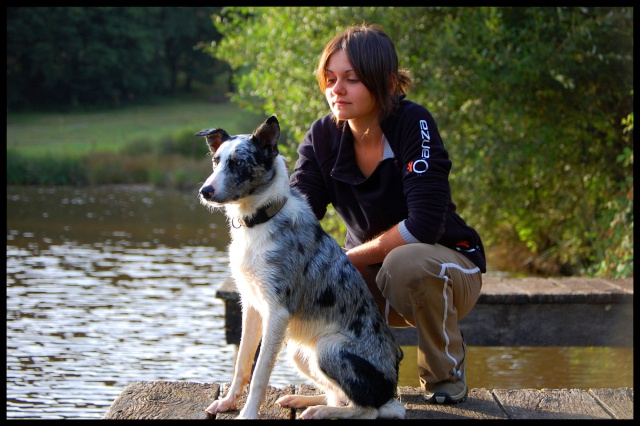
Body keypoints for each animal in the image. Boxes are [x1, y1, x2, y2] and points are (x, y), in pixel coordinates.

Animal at [196, 115, 404, 420]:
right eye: (216, 160)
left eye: (239, 163)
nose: (205, 191)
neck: (258, 221)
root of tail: (390, 390)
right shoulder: (252, 306)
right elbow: (242, 363)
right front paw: (229, 402)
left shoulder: (277, 313)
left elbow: (260, 373)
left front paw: (248, 413)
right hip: (300, 351)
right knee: (338, 396)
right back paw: (306, 401)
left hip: (328, 349)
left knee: (366, 409)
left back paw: (321, 411)